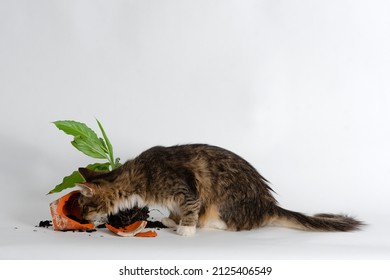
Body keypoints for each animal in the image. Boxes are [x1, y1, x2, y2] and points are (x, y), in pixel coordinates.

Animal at [76, 143, 362, 235]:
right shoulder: (174, 199)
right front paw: (172, 221)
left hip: (225, 200)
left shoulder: (186, 190)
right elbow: (176, 211)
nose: (81, 218)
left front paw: (186, 229)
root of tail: (269, 205)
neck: (135, 175)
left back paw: (209, 224)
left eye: (83, 206)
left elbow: (191, 210)